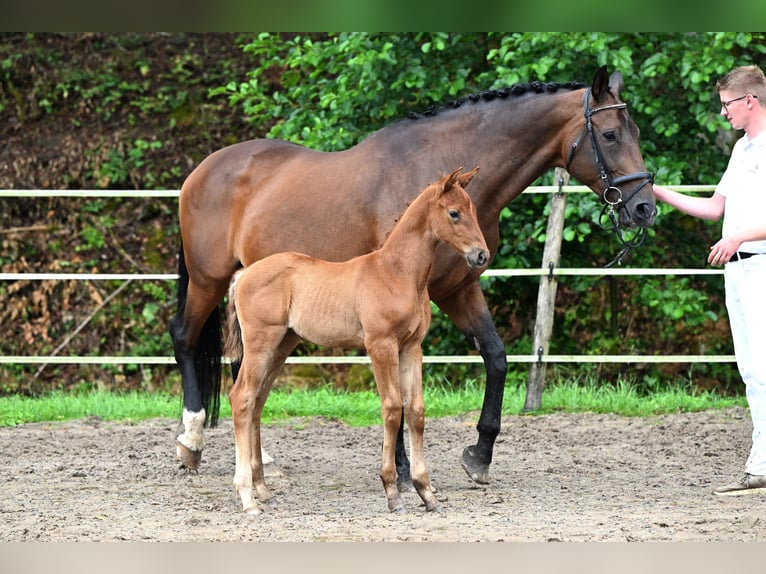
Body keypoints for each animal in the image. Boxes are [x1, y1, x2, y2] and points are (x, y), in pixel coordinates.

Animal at [224, 167, 489, 514]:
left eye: (473, 209)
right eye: (454, 213)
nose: (481, 255)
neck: (397, 274)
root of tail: (244, 275)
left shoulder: (411, 347)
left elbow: (416, 411)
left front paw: (426, 493)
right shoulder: (380, 345)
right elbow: (392, 408)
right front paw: (392, 492)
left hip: (281, 346)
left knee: (257, 401)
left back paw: (262, 489)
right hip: (260, 342)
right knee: (241, 397)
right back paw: (247, 497)